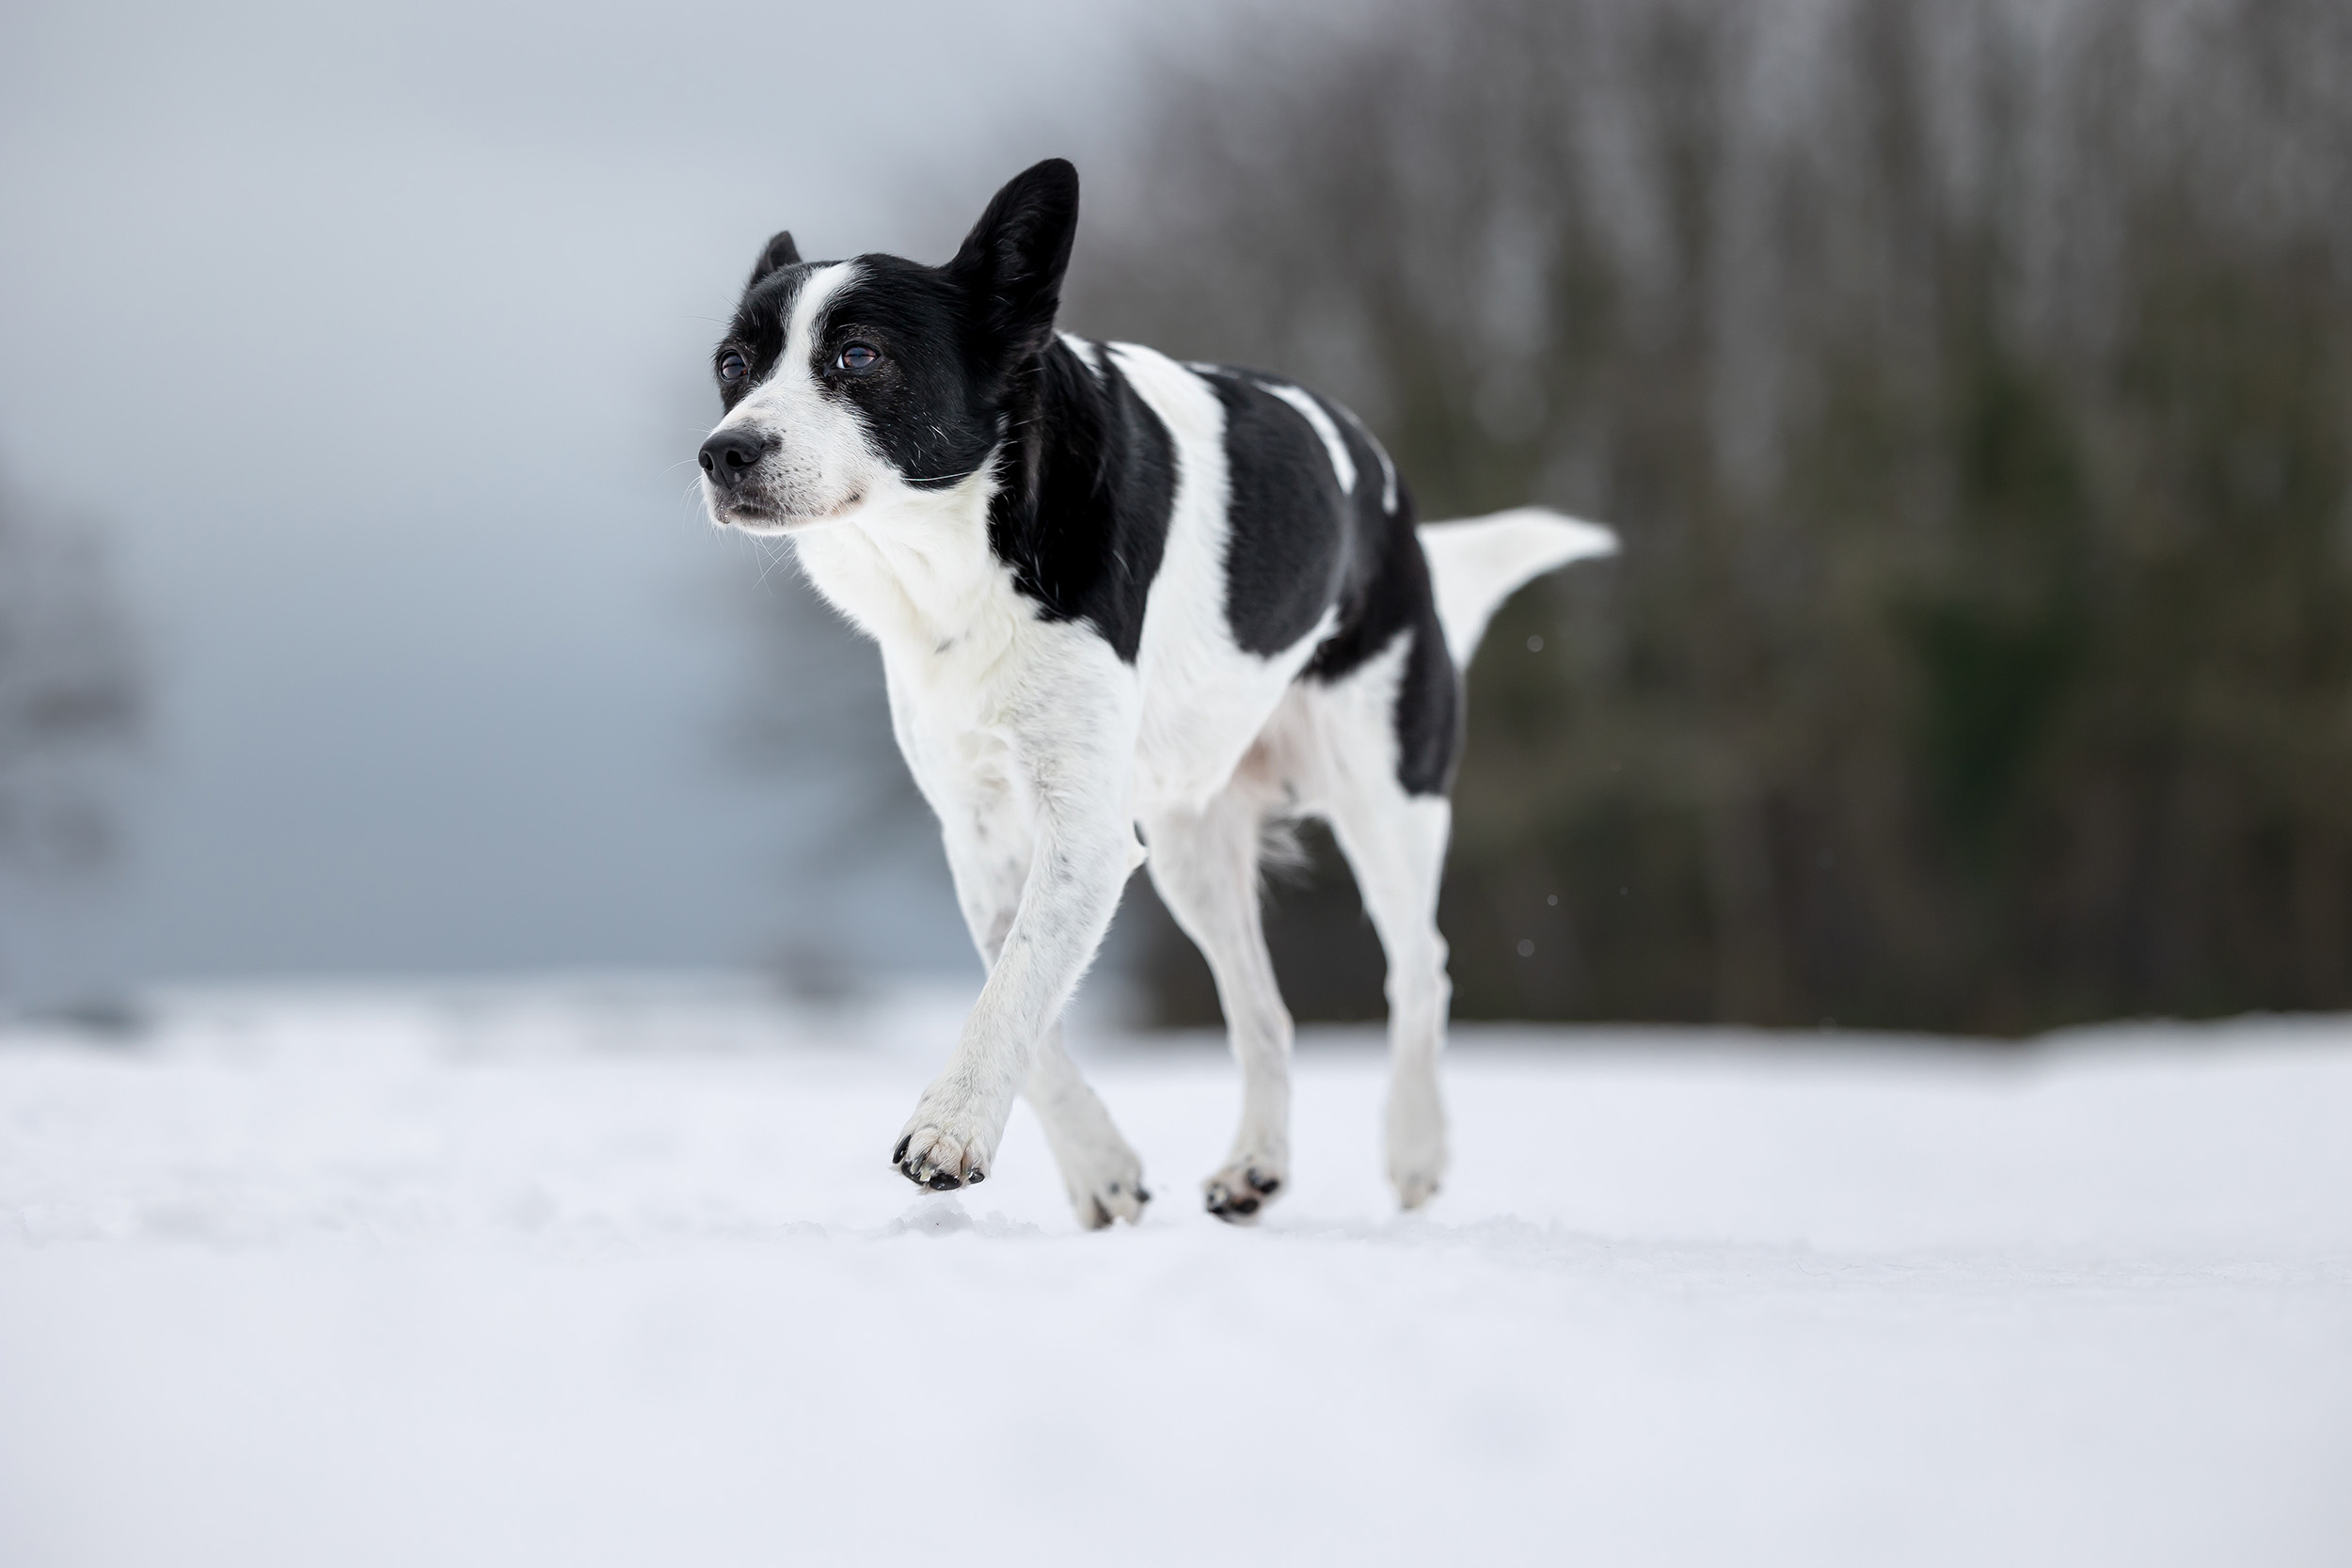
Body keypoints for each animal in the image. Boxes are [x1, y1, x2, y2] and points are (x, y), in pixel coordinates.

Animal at [696, 159, 1618, 1231]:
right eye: (732, 363)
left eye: (857, 353)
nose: (723, 453)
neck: (963, 558)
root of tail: (1402, 515)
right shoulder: (982, 830)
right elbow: (1026, 998)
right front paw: (1100, 1170)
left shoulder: (1086, 833)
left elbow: (1015, 986)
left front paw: (947, 1133)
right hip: (1192, 847)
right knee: (1265, 1010)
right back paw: (1256, 1164)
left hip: (1383, 793)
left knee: (1421, 968)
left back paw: (1416, 1149)